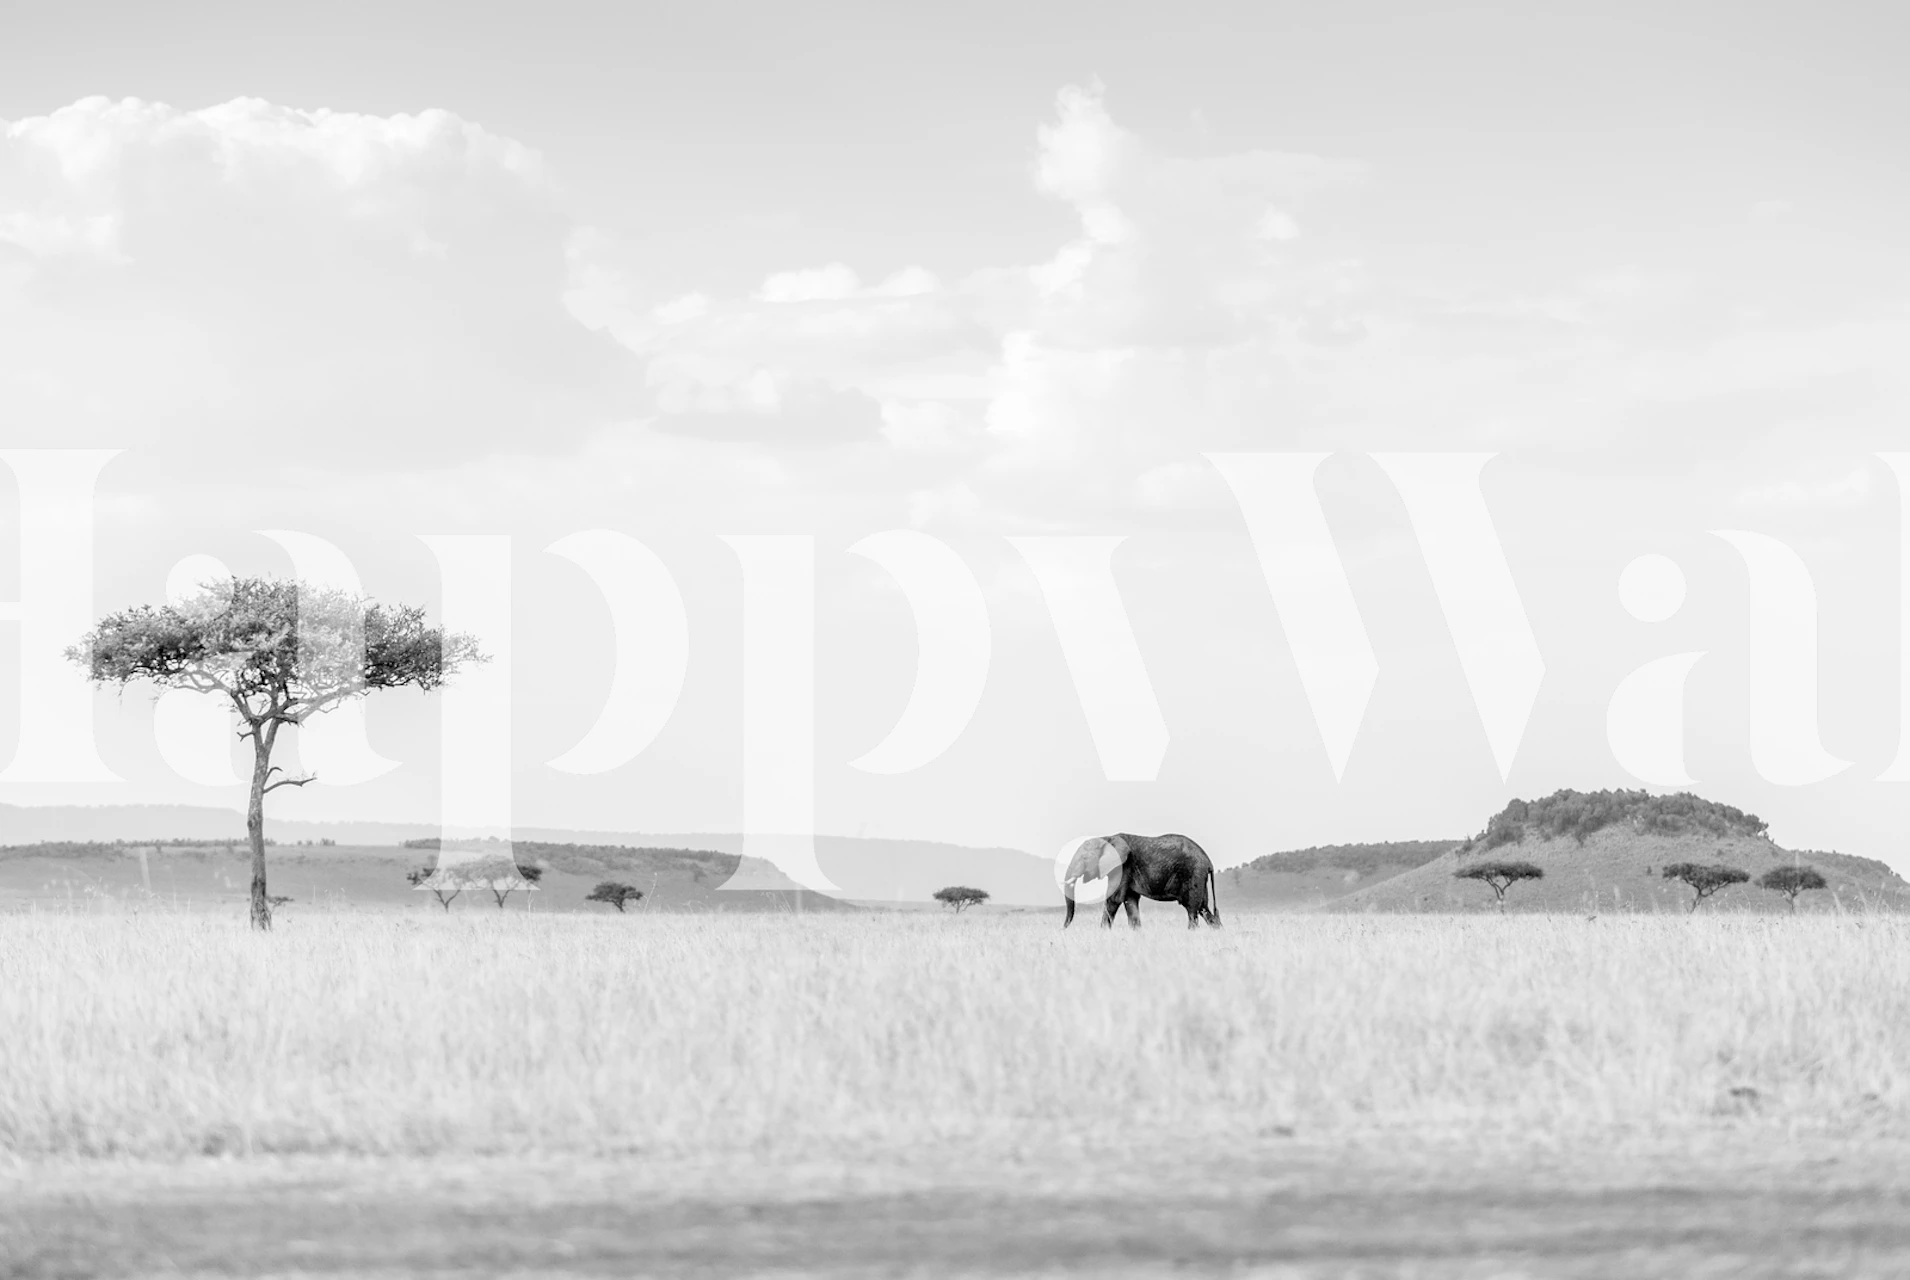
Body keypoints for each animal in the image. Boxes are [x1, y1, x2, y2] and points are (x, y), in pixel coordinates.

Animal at [1063, 833, 1221, 929]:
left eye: (1084, 858)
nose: (1063, 928)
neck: (1107, 838)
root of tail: (1209, 862)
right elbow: (1130, 901)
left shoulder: (1123, 867)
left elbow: (1114, 899)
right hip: (1199, 878)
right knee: (1204, 909)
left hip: (1193, 873)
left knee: (1192, 910)